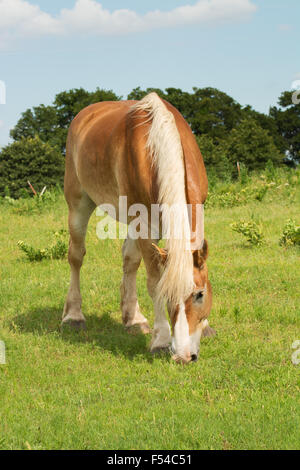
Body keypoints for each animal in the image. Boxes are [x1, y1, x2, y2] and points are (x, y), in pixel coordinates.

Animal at [62, 92, 213, 364]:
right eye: (168, 297)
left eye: (200, 294)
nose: (184, 356)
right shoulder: (145, 226)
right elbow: (153, 282)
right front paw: (161, 340)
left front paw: (205, 327)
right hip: (78, 203)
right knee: (76, 257)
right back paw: (73, 316)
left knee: (129, 261)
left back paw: (133, 318)